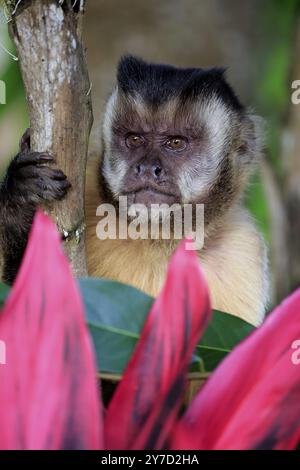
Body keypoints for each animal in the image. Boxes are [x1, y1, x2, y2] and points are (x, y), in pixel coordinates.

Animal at [0, 55, 270, 324]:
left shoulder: (244, 254)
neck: (157, 239)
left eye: (175, 143)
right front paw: (20, 198)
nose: (148, 168)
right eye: (135, 139)